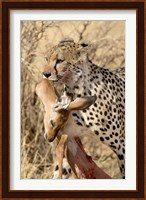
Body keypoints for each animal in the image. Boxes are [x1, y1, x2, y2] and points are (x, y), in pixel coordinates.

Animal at [42, 38, 125, 179]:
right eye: (46, 59)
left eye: (60, 60)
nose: (45, 74)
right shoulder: (70, 136)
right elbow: (61, 166)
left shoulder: (122, 144)